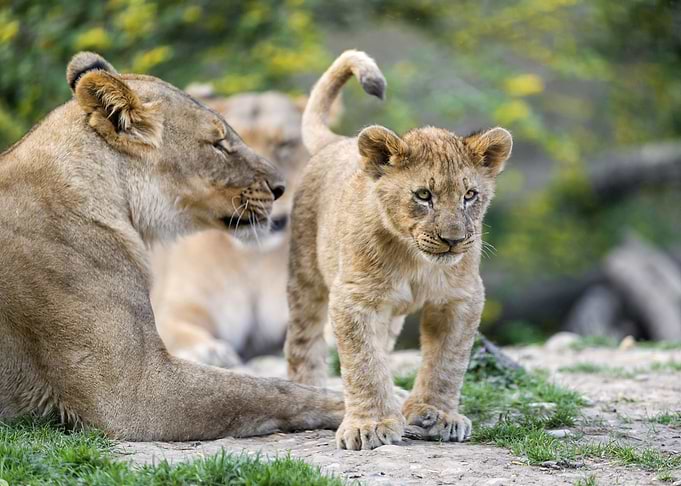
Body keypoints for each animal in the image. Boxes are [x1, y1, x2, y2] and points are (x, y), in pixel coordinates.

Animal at [150, 88, 309, 367]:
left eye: (284, 144)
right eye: (223, 148)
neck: (253, 260)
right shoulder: (177, 306)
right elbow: (176, 330)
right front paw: (209, 352)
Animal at [284, 50, 513, 450]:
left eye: (470, 195)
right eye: (423, 195)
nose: (454, 239)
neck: (415, 260)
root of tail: (338, 142)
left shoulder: (460, 299)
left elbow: (447, 363)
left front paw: (436, 415)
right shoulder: (355, 298)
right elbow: (363, 362)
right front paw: (369, 425)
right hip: (306, 276)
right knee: (303, 341)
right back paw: (309, 391)